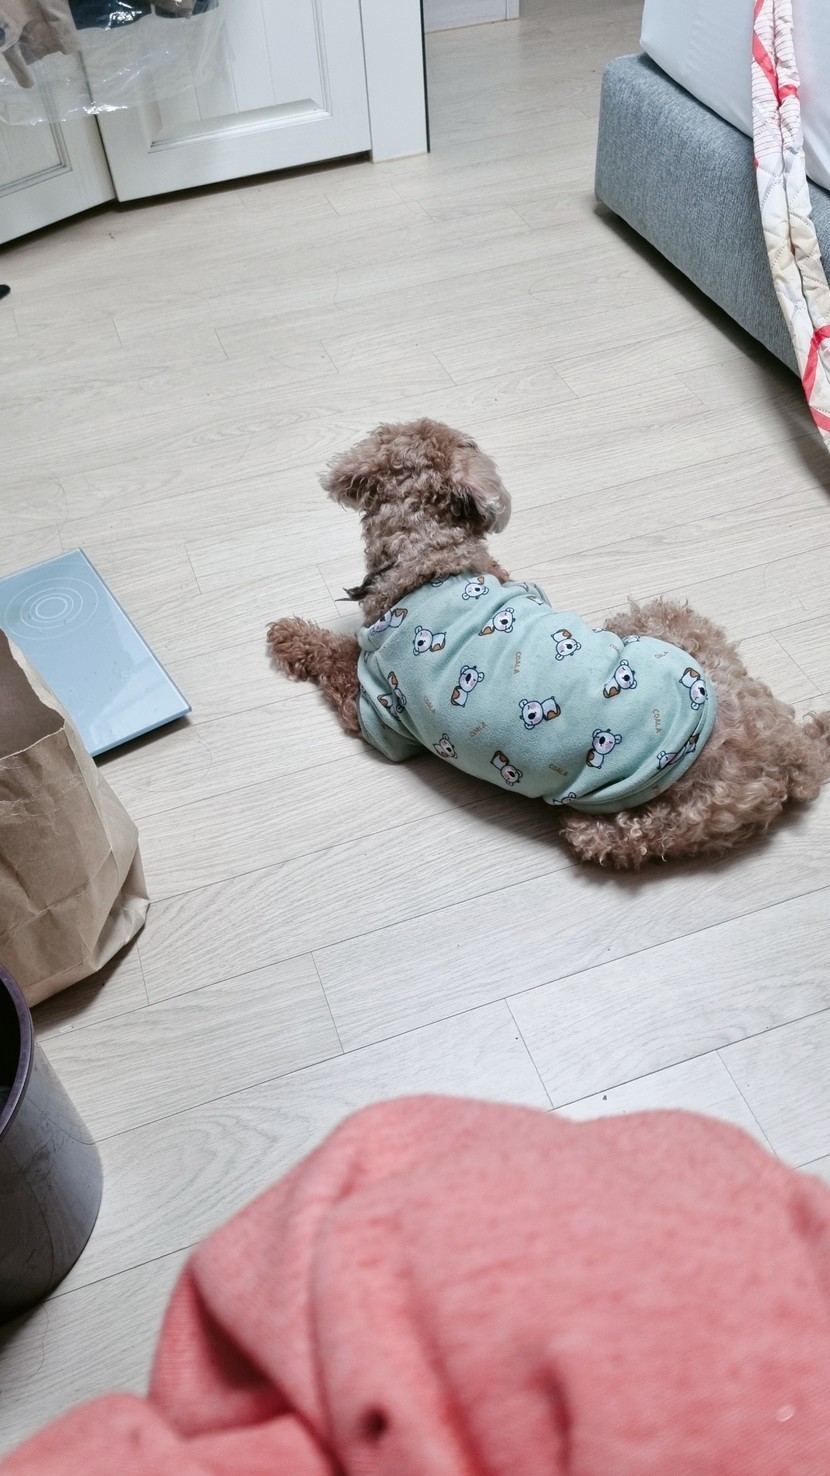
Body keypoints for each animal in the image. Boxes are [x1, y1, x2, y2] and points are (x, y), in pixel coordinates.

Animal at [267, 418, 830, 868]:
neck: (426, 558)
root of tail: (786, 756)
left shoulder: (377, 709)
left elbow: (333, 658)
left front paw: (287, 634)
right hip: (683, 632)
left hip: (632, 797)